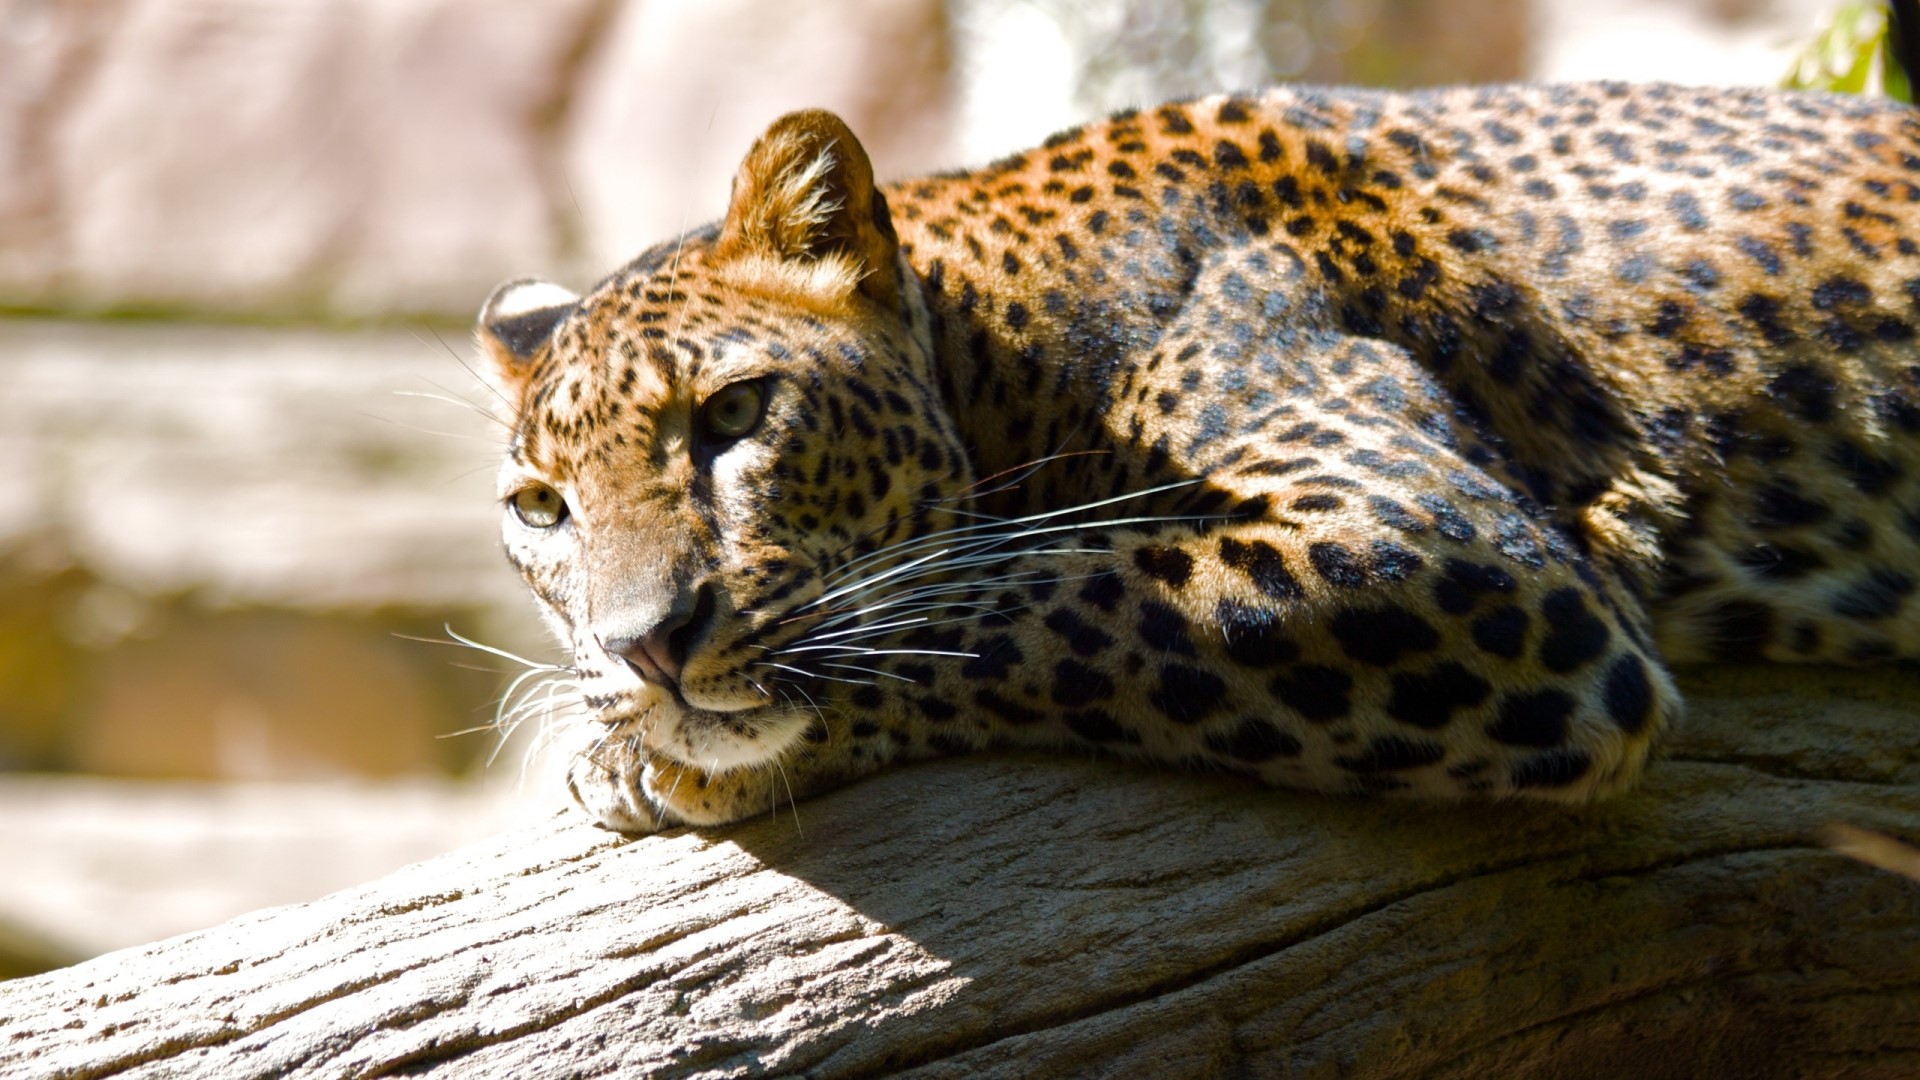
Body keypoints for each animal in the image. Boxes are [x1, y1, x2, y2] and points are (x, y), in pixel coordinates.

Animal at [475, 82, 1920, 833]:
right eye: (541, 509)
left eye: (733, 415)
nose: (644, 649)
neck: (1011, 344)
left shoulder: (1444, 546)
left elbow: (1050, 595)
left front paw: (653, 754)